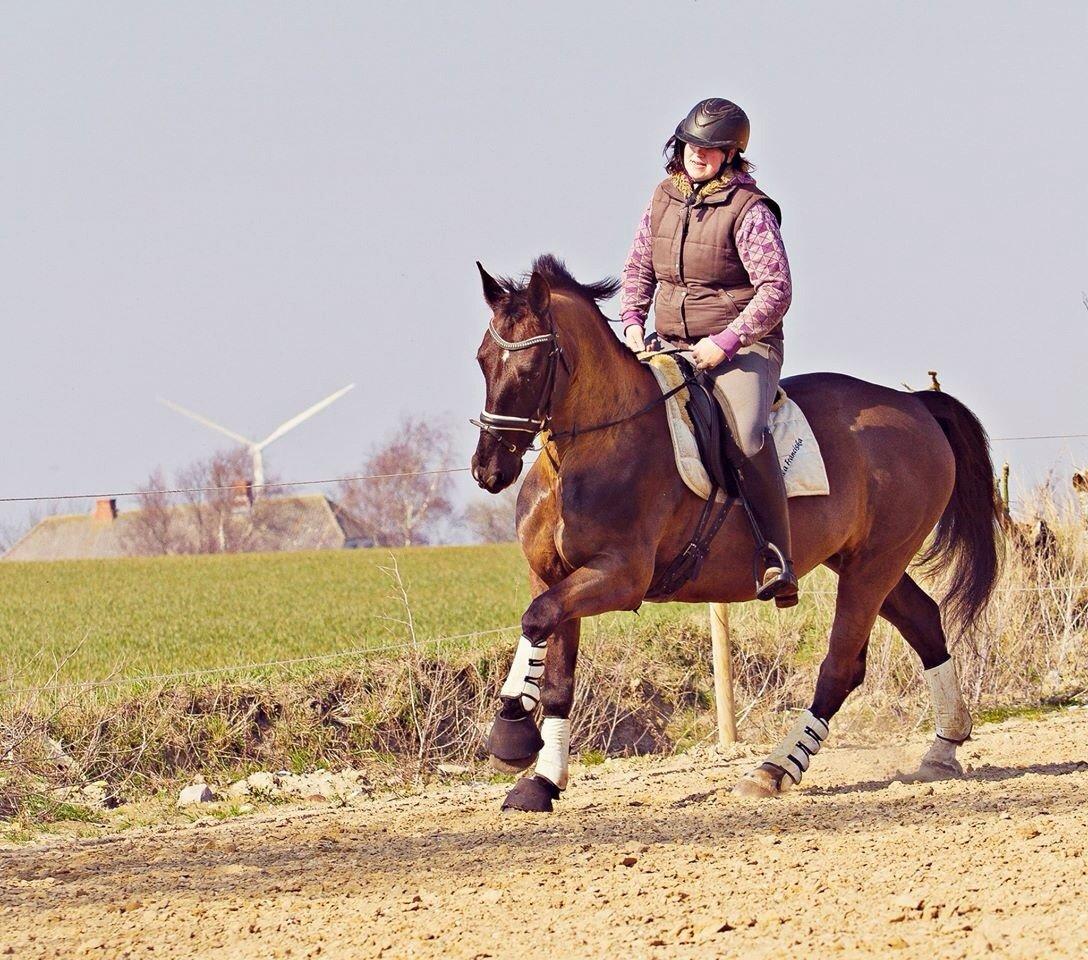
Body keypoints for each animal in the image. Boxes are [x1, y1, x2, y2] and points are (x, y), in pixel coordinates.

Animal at [472, 252, 996, 809]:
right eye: (483, 359)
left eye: (530, 367)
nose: (488, 470)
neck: (588, 451)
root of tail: (917, 406)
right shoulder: (553, 575)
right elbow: (553, 670)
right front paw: (541, 780)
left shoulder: (619, 577)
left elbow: (536, 619)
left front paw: (510, 732)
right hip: (866, 560)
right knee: (923, 622)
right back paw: (944, 747)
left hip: (875, 565)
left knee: (841, 667)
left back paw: (773, 770)